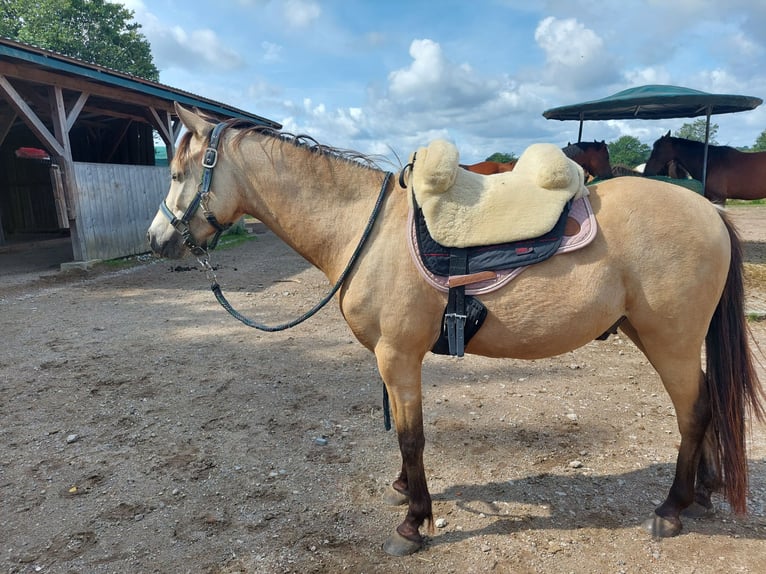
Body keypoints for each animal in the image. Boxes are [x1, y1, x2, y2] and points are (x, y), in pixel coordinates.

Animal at [147, 103, 764, 560]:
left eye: (177, 174)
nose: (158, 241)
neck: (365, 231)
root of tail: (710, 213)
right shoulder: (393, 361)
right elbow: (403, 433)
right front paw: (404, 492)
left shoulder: (399, 356)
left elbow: (411, 436)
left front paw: (414, 523)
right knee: (707, 404)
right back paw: (702, 494)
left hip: (670, 342)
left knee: (695, 411)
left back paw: (672, 510)